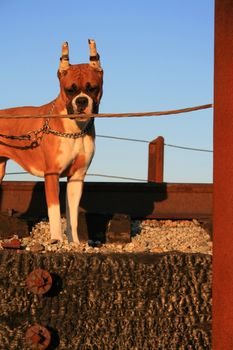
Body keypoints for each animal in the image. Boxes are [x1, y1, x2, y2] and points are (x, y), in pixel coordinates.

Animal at [0, 39, 103, 243]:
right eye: (69, 90)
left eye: (92, 88)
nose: (81, 101)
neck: (75, 131)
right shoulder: (52, 175)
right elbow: (54, 212)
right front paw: (56, 240)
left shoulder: (76, 178)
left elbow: (72, 216)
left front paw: (74, 243)